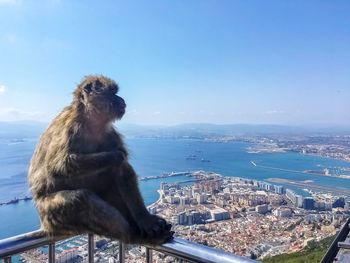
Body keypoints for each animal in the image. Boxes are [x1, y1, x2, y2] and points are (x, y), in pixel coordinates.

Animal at [28, 75, 173, 246]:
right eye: (112, 92)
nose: (122, 100)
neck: (90, 122)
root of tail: (44, 224)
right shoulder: (69, 129)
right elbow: (58, 167)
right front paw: (117, 156)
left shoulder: (109, 134)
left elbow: (123, 172)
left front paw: (145, 219)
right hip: (50, 213)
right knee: (81, 199)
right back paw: (131, 235)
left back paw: (135, 226)